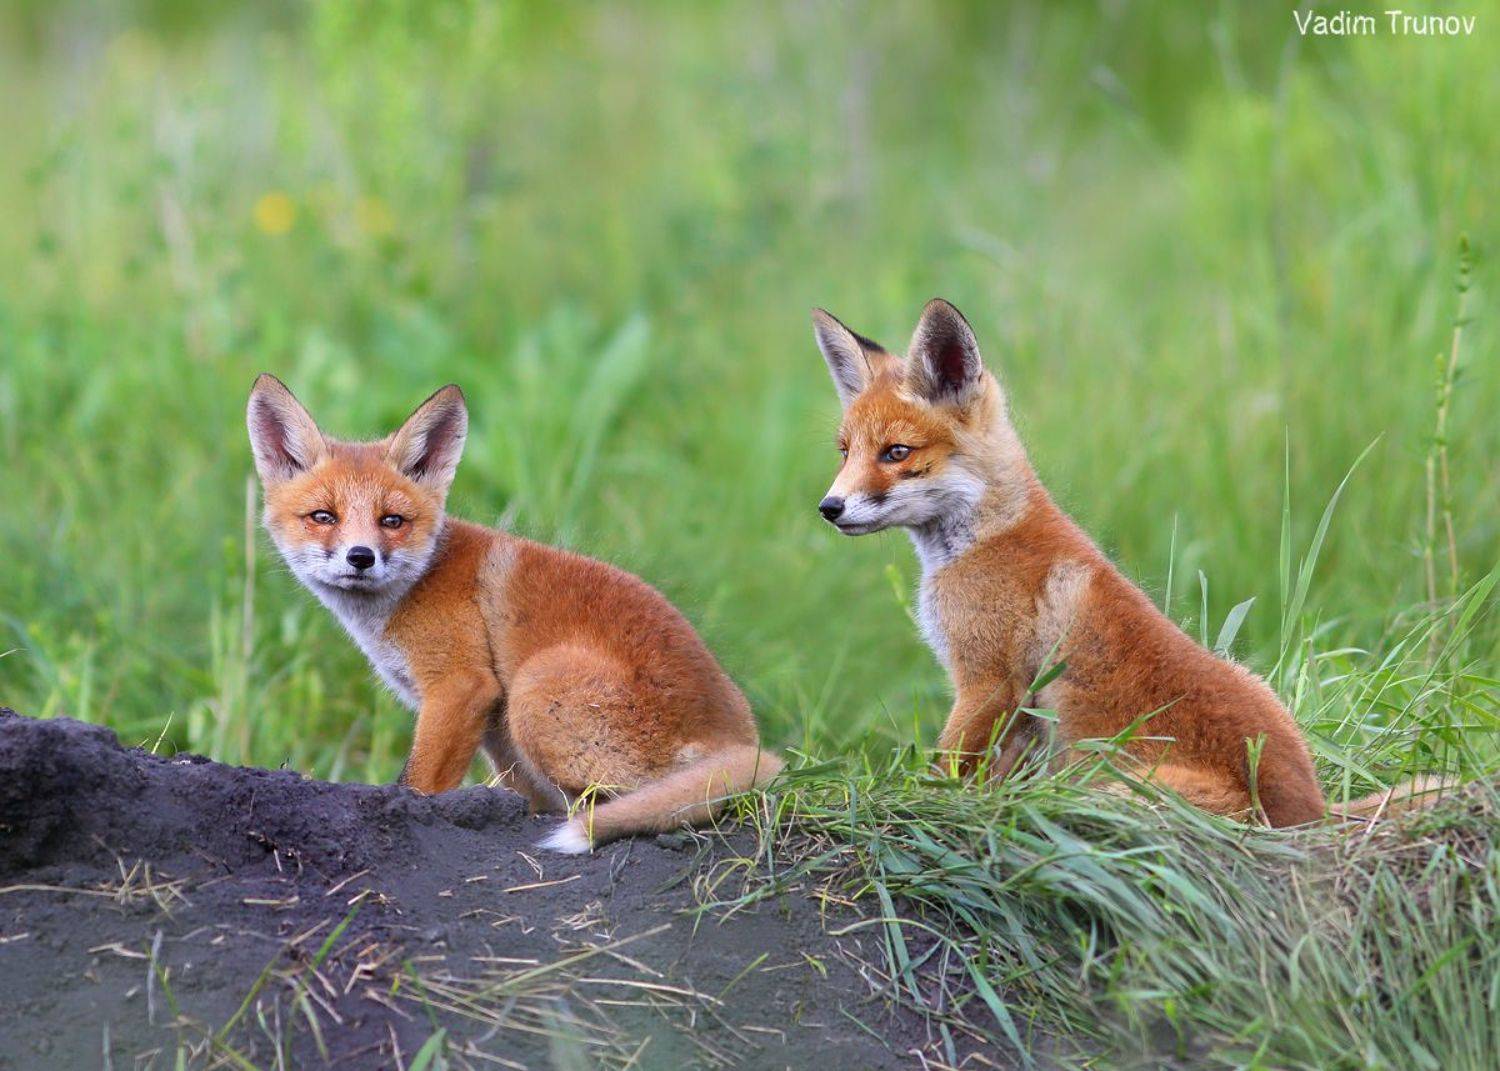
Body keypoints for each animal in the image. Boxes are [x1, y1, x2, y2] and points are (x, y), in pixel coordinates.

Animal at [246, 374, 781, 852]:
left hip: (533, 688)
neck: (410, 590)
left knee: (617, 801)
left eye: (392, 521)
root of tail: (741, 738)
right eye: (324, 517)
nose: (361, 557)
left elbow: (418, 783)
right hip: (507, 730)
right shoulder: (478, 713)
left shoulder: (461, 687)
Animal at [812, 298, 1445, 826]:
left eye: (896, 453)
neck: (984, 538)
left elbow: (944, 771)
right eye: (845, 452)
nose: (829, 507)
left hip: (1110, 789)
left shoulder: (987, 681)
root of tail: (1311, 814)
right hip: (1252, 679)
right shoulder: (1011, 707)